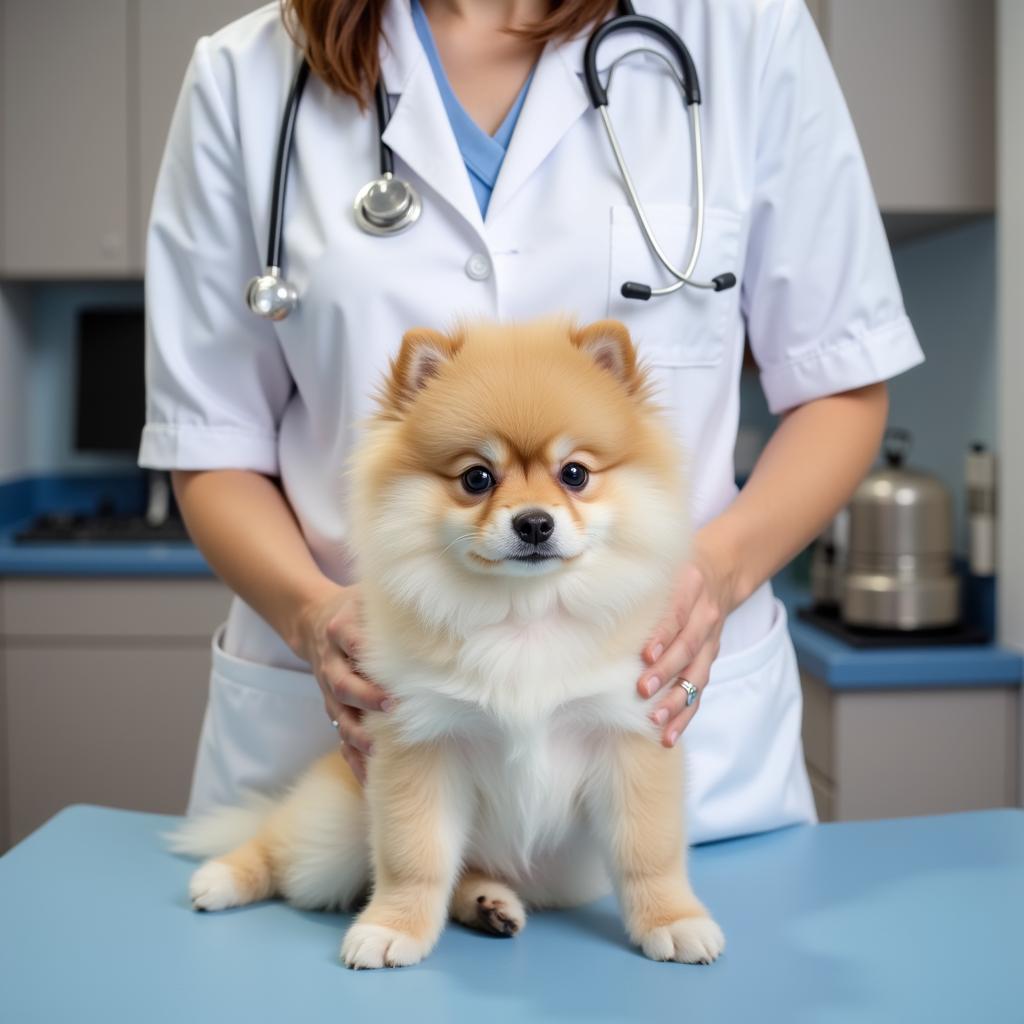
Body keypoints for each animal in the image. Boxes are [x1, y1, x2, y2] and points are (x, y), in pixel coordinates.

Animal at [172, 317, 724, 966]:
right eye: (476, 478)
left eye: (575, 474)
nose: (534, 522)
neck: (523, 617)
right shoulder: (423, 743)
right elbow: (416, 857)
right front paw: (394, 928)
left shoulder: (629, 733)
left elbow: (648, 851)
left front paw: (673, 919)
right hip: (330, 837)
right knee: (282, 849)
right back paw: (222, 876)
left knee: (471, 869)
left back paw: (489, 904)